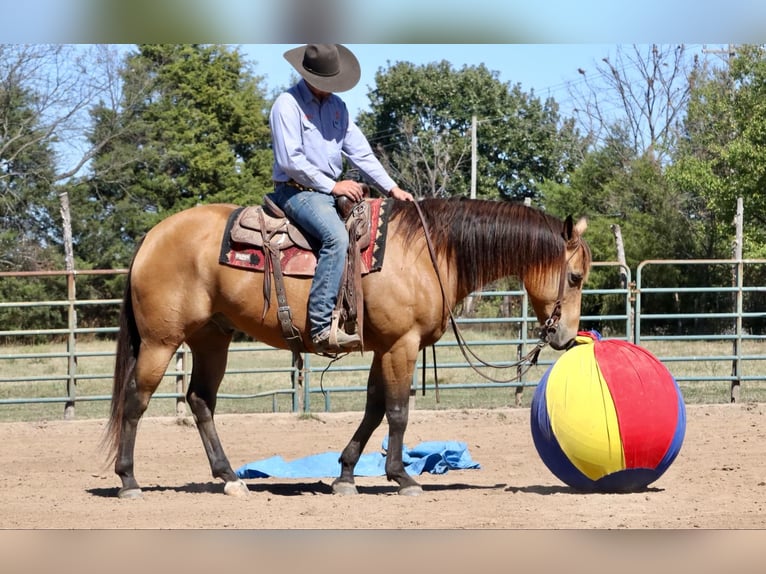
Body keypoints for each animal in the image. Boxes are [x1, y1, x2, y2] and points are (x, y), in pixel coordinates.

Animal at [105, 197, 592, 500]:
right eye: (574, 277)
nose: (565, 337)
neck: (427, 253)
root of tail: (152, 237)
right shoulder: (401, 345)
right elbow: (397, 411)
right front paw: (402, 478)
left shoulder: (383, 348)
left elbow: (374, 409)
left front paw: (344, 474)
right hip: (161, 342)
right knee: (135, 400)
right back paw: (128, 480)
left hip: (211, 338)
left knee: (200, 400)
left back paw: (228, 478)